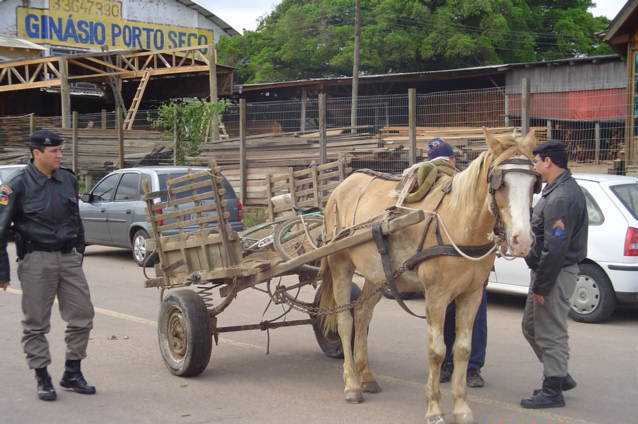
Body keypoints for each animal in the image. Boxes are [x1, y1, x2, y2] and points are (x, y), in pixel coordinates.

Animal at [320, 129, 540, 424]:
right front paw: (434, 408)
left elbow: (462, 349)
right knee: (345, 321)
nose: (522, 240)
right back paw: (352, 384)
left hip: (377, 274)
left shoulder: (472, 295)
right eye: (500, 183)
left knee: (363, 315)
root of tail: (343, 185)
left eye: (534, 183)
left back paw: (366, 375)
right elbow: (437, 351)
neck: (458, 222)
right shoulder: (436, 296)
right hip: (340, 264)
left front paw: (462, 408)